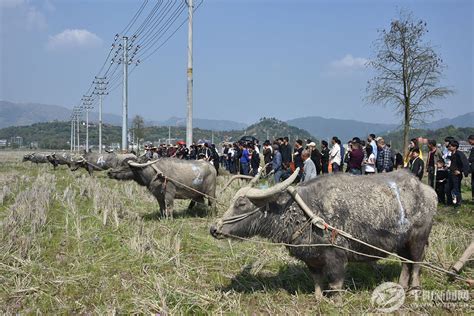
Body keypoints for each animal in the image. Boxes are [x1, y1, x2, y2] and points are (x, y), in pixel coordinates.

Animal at [211, 169, 436, 298]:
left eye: (241, 204)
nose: (214, 229)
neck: (305, 213)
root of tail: (427, 190)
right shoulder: (312, 258)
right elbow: (318, 281)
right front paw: (318, 299)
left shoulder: (337, 258)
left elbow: (335, 284)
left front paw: (335, 303)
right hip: (401, 243)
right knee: (406, 264)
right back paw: (399, 288)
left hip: (418, 239)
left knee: (416, 263)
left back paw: (414, 292)